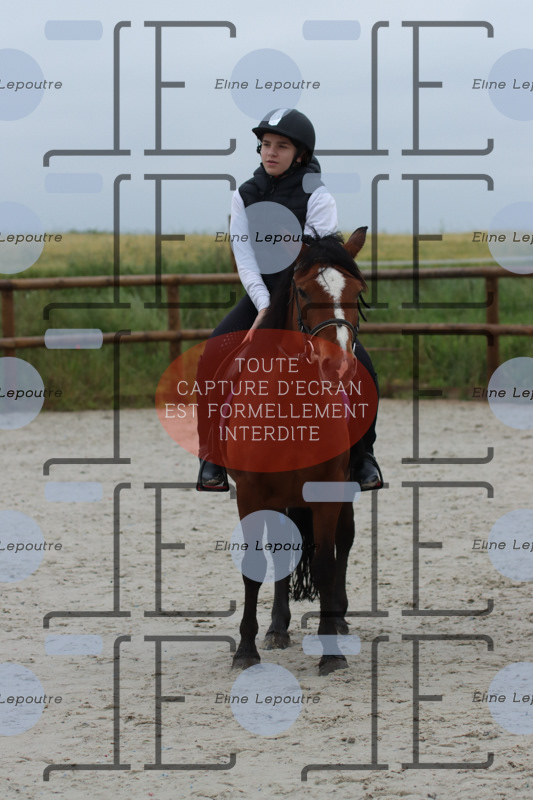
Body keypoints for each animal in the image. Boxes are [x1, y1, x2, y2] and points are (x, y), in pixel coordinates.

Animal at [221, 227, 373, 675]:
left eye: (357, 291)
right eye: (304, 291)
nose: (338, 365)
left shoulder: (327, 488)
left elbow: (325, 563)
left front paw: (331, 653)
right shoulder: (252, 492)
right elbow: (256, 565)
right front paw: (246, 649)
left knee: (344, 540)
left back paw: (337, 618)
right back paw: (276, 628)